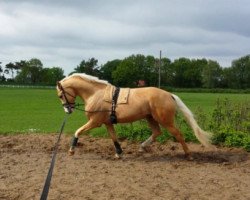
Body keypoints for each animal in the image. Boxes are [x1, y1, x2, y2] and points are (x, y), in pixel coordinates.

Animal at [56, 73, 211, 159]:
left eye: (60, 95)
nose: (67, 110)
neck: (96, 94)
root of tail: (169, 95)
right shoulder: (108, 123)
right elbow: (114, 138)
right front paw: (119, 153)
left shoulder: (95, 122)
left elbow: (78, 132)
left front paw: (71, 150)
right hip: (150, 118)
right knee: (157, 132)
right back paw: (142, 147)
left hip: (165, 120)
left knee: (178, 134)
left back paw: (188, 155)